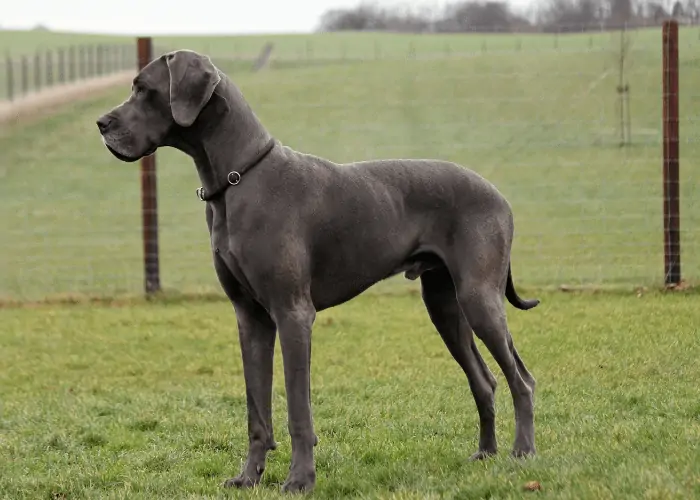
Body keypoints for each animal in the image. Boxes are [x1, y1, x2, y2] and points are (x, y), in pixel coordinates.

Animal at [95, 49, 540, 492]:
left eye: (144, 89)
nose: (101, 124)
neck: (238, 180)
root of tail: (500, 196)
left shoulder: (293, 314)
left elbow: (298, 410)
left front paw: (300, 479)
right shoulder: (251, 319)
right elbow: (257, 410)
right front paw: (248, 477)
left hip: (479, 299)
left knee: (521, 379)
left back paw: (522, 452)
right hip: (444, 306)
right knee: (485, 380)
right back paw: (485, 452)